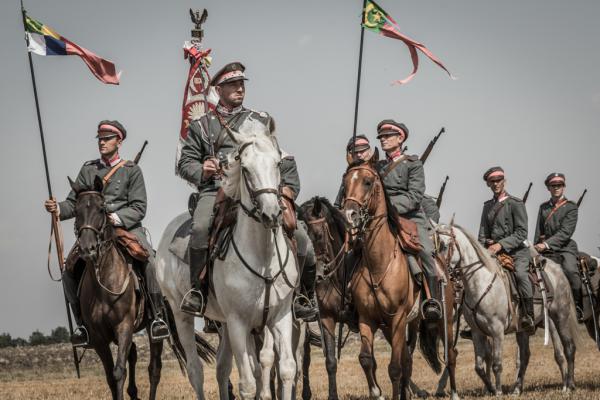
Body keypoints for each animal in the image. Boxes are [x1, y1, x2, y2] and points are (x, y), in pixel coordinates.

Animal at [70, 177, 164, 400]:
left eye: (102, 208)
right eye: (76, 210)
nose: (87, 248)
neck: (103, 283)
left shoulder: (124, 326)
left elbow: (119, 371)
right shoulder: (98, 338)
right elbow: (110, 377)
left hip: (154, 331)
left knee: (154, 369)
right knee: (134, 353)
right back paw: (133, 393)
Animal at [155, 117, 298, 398]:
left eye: (277, 163)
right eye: (245, 168)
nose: (272, 213)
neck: (263, 258)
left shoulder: (280, 317)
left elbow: (286, 369)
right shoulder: (238, 323)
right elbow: (248, 383)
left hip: (222, 323)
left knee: (221, 368)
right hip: (182, 315)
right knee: (196, 370)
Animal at [432, 223, 580, 396]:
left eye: (445, 245)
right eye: (434, 247)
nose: (438, 274)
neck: (481, 282)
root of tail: (557, 269)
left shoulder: (497, 331)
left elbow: (496, 363)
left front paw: (497, 392)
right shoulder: (477, 333)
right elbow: (479, 366)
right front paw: (489, 389)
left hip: (560, 318)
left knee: (568, 349)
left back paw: (568, 386)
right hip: (523, 329)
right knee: (525, 357)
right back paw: (517, 389)